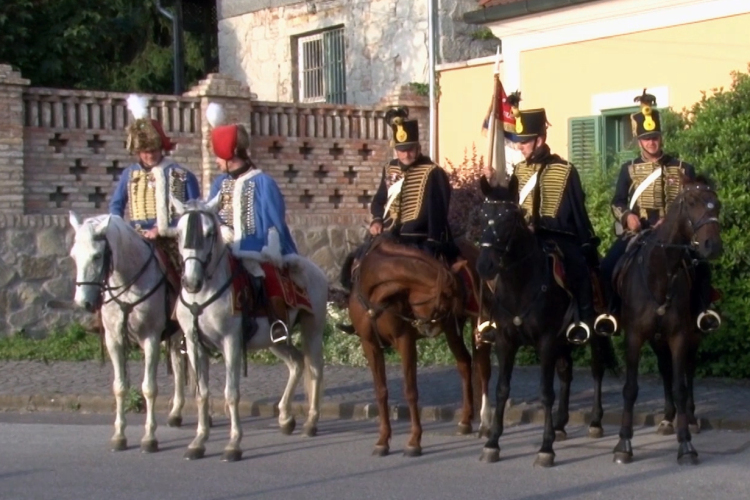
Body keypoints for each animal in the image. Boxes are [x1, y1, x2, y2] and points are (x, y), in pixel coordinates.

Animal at [69, 211, 188, 454]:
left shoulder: (151, 339)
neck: (128, 282)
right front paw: (119, 435)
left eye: (97, 256)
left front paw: (149, 438)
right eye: (74, 256)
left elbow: (149, 388)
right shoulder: (114, 340)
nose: (83, 302)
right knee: (178, 364)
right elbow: (120, 387)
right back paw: (176, 413)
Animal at [175, 198, 330, 460]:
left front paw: (233, 444)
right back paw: (285, 417)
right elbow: (202, 393)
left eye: (209, 233)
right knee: (296, 363)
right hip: (276, 339)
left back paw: (310, 422)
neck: (203, 295)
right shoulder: (195, 344)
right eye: (179, 233)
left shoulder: (231, 342)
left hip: (313, 330)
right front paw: (198, 441)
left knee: (315, 370)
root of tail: (315, 269)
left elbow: (231, 393)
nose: (191, 282)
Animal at [346, 234, 494, 458]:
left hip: (477, 326)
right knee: (464, 363)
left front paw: (414, 440)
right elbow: (381, 391)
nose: (429, 326)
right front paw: (382, 440)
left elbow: (410, 390)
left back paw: (485, 423)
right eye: (448, 298)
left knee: (482, 368)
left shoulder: (405, 340)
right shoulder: (369, 344)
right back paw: (465, 420)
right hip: (453, 331)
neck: (374, 293)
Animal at [478, 188, 620, 468]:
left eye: (508, 218)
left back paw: (595, 421)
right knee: (566, 372)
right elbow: (501, 390)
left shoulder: (545, 341)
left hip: (593, 335)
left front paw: (546, 448)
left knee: (596, 370)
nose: (484, 265)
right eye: (481, 215)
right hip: (563, 341)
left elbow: (545, 393)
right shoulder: (505, 342)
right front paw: (492, 443)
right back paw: (561, 424)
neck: (520, 285)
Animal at [612, 176, 724, 464]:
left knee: (688, 372)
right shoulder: (635, 337)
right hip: (657, 339)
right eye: (692, 202)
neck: (659, 273)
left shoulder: (679, 337)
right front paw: (623, 443)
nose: (713, 246)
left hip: (690, 337)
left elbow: (680, 386)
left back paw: (690, 418)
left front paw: (686, 443)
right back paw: (666, 418)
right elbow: (630, 388)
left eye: (717, 204)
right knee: (665, 369)